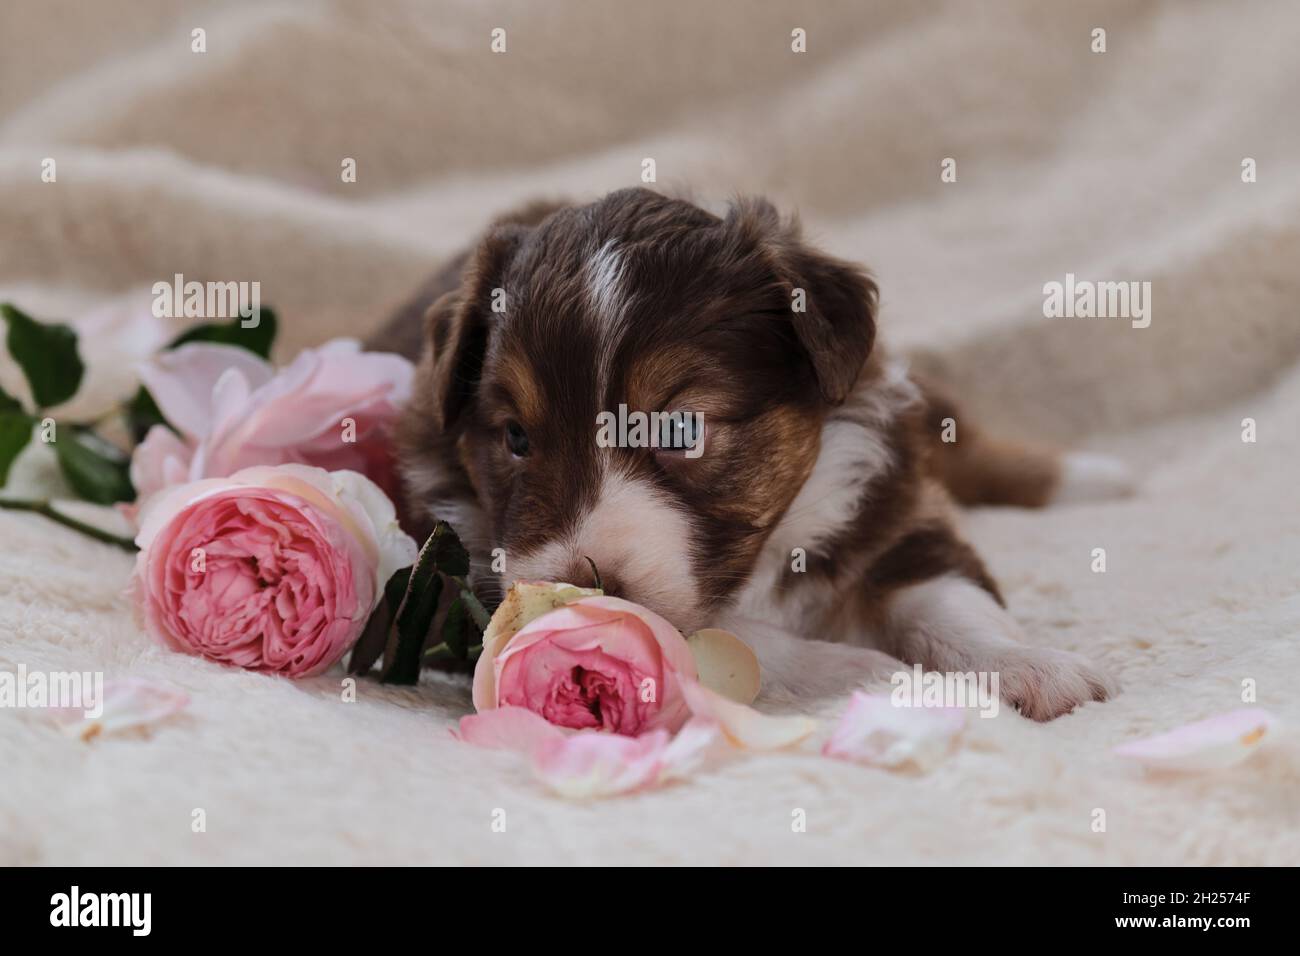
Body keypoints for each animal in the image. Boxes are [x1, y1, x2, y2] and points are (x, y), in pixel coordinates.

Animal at [371, 191, 1133, 723]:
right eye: (516, 438)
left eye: (680, 429)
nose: (583, 589)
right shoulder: (459, 583)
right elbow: (737, 639)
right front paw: (877, 672)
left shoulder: (892, 505)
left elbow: (951, 601)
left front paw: (1035, 666)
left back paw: (1099, 477)